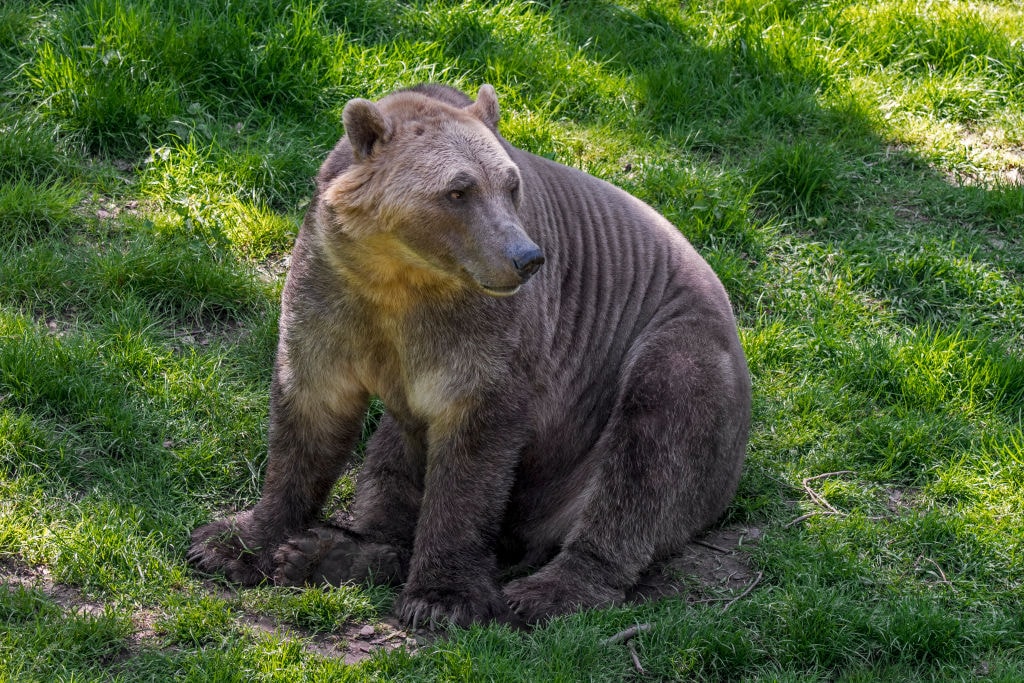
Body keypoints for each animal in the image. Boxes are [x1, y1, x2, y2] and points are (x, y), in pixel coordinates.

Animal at [188, 83, 751, 627]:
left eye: (510, 185)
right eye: (458, 190)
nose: (526, 258)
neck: (399, 275)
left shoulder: (488, 336)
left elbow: (473, 452)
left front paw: (444, 597)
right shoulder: (332, 290)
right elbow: (310, 408)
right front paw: (231, 543)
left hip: (672, 353)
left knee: (649, 450)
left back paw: (549, 591)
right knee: (390, 461)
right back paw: (325, 554)